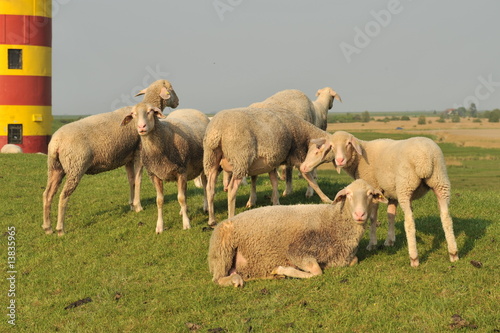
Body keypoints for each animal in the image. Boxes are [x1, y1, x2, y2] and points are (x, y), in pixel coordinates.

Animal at [42, 79, 180, 235]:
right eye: (171, 89)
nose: (178, 102)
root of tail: (56, 143)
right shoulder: (139, 152)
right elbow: (138, 180)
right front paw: (138, 206)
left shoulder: (128, 157)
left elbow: (131, 180)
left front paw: (131, 204)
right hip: (75, 166)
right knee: (63, 196)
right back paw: (60, 228)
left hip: (55, 168)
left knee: (47, 194)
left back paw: (47, 227)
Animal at [203, 106, 340, 226]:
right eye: (319, 151)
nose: (307, 167)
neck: (304, 132)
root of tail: (216, 130)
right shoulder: (297, 156)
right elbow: (312, 182)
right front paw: (327, 199)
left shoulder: (272, 161)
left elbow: (274, 181)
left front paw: (276, 202)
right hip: (240, 158)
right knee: (232, 189)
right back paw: (230, 216)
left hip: (212, 160)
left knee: (210, 188)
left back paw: (211, 220)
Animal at [207, 178, 386, 286]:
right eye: (348, 195)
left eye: (371, 194)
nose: (360, 214)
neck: (333, 221)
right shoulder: (296, 251)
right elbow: (316, 272)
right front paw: (282, 269)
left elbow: (353, 260)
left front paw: (280, 272)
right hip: (222, 251)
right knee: (218, 279)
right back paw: (236, 279)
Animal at [298, 130, 458, 268]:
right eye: (331, 146)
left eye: (348, 143)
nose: (340, 160)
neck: (360, 157)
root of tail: (425, 159)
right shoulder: (391, 193)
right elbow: (391, 215)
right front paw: (390, 241)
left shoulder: (374, 187)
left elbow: (373, 218)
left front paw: (372, 244)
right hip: (440, 182)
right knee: (446, 217)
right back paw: (453, 253)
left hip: (405, 187)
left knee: (410, 222)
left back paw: (414, 258)